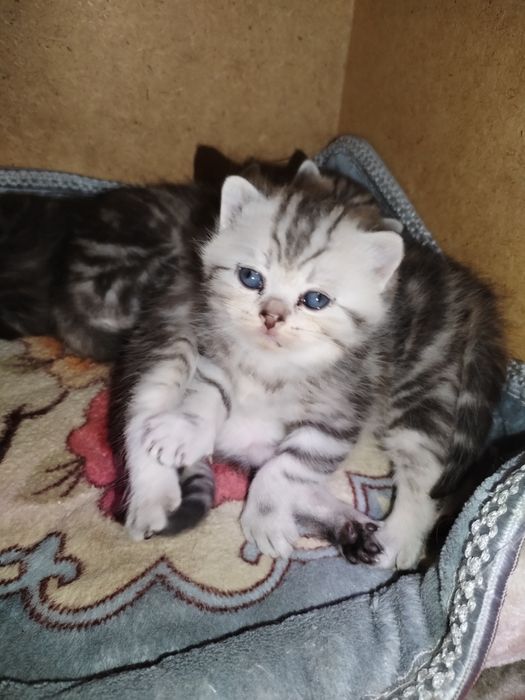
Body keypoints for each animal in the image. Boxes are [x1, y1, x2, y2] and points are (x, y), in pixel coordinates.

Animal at [111, 159, 507, 570]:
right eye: (250, 277)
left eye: (315, 299)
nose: (271, 317)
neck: (271, 368)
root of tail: (468, 291)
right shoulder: (210, 350)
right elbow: (209, 392)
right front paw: (185, 430)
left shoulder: (339, 416)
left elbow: (288, 467)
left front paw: (264, 517)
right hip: (170, 336)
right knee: (143, 409)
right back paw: (152, 500)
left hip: (422, 389)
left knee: (423, 470)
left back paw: (397, 538)